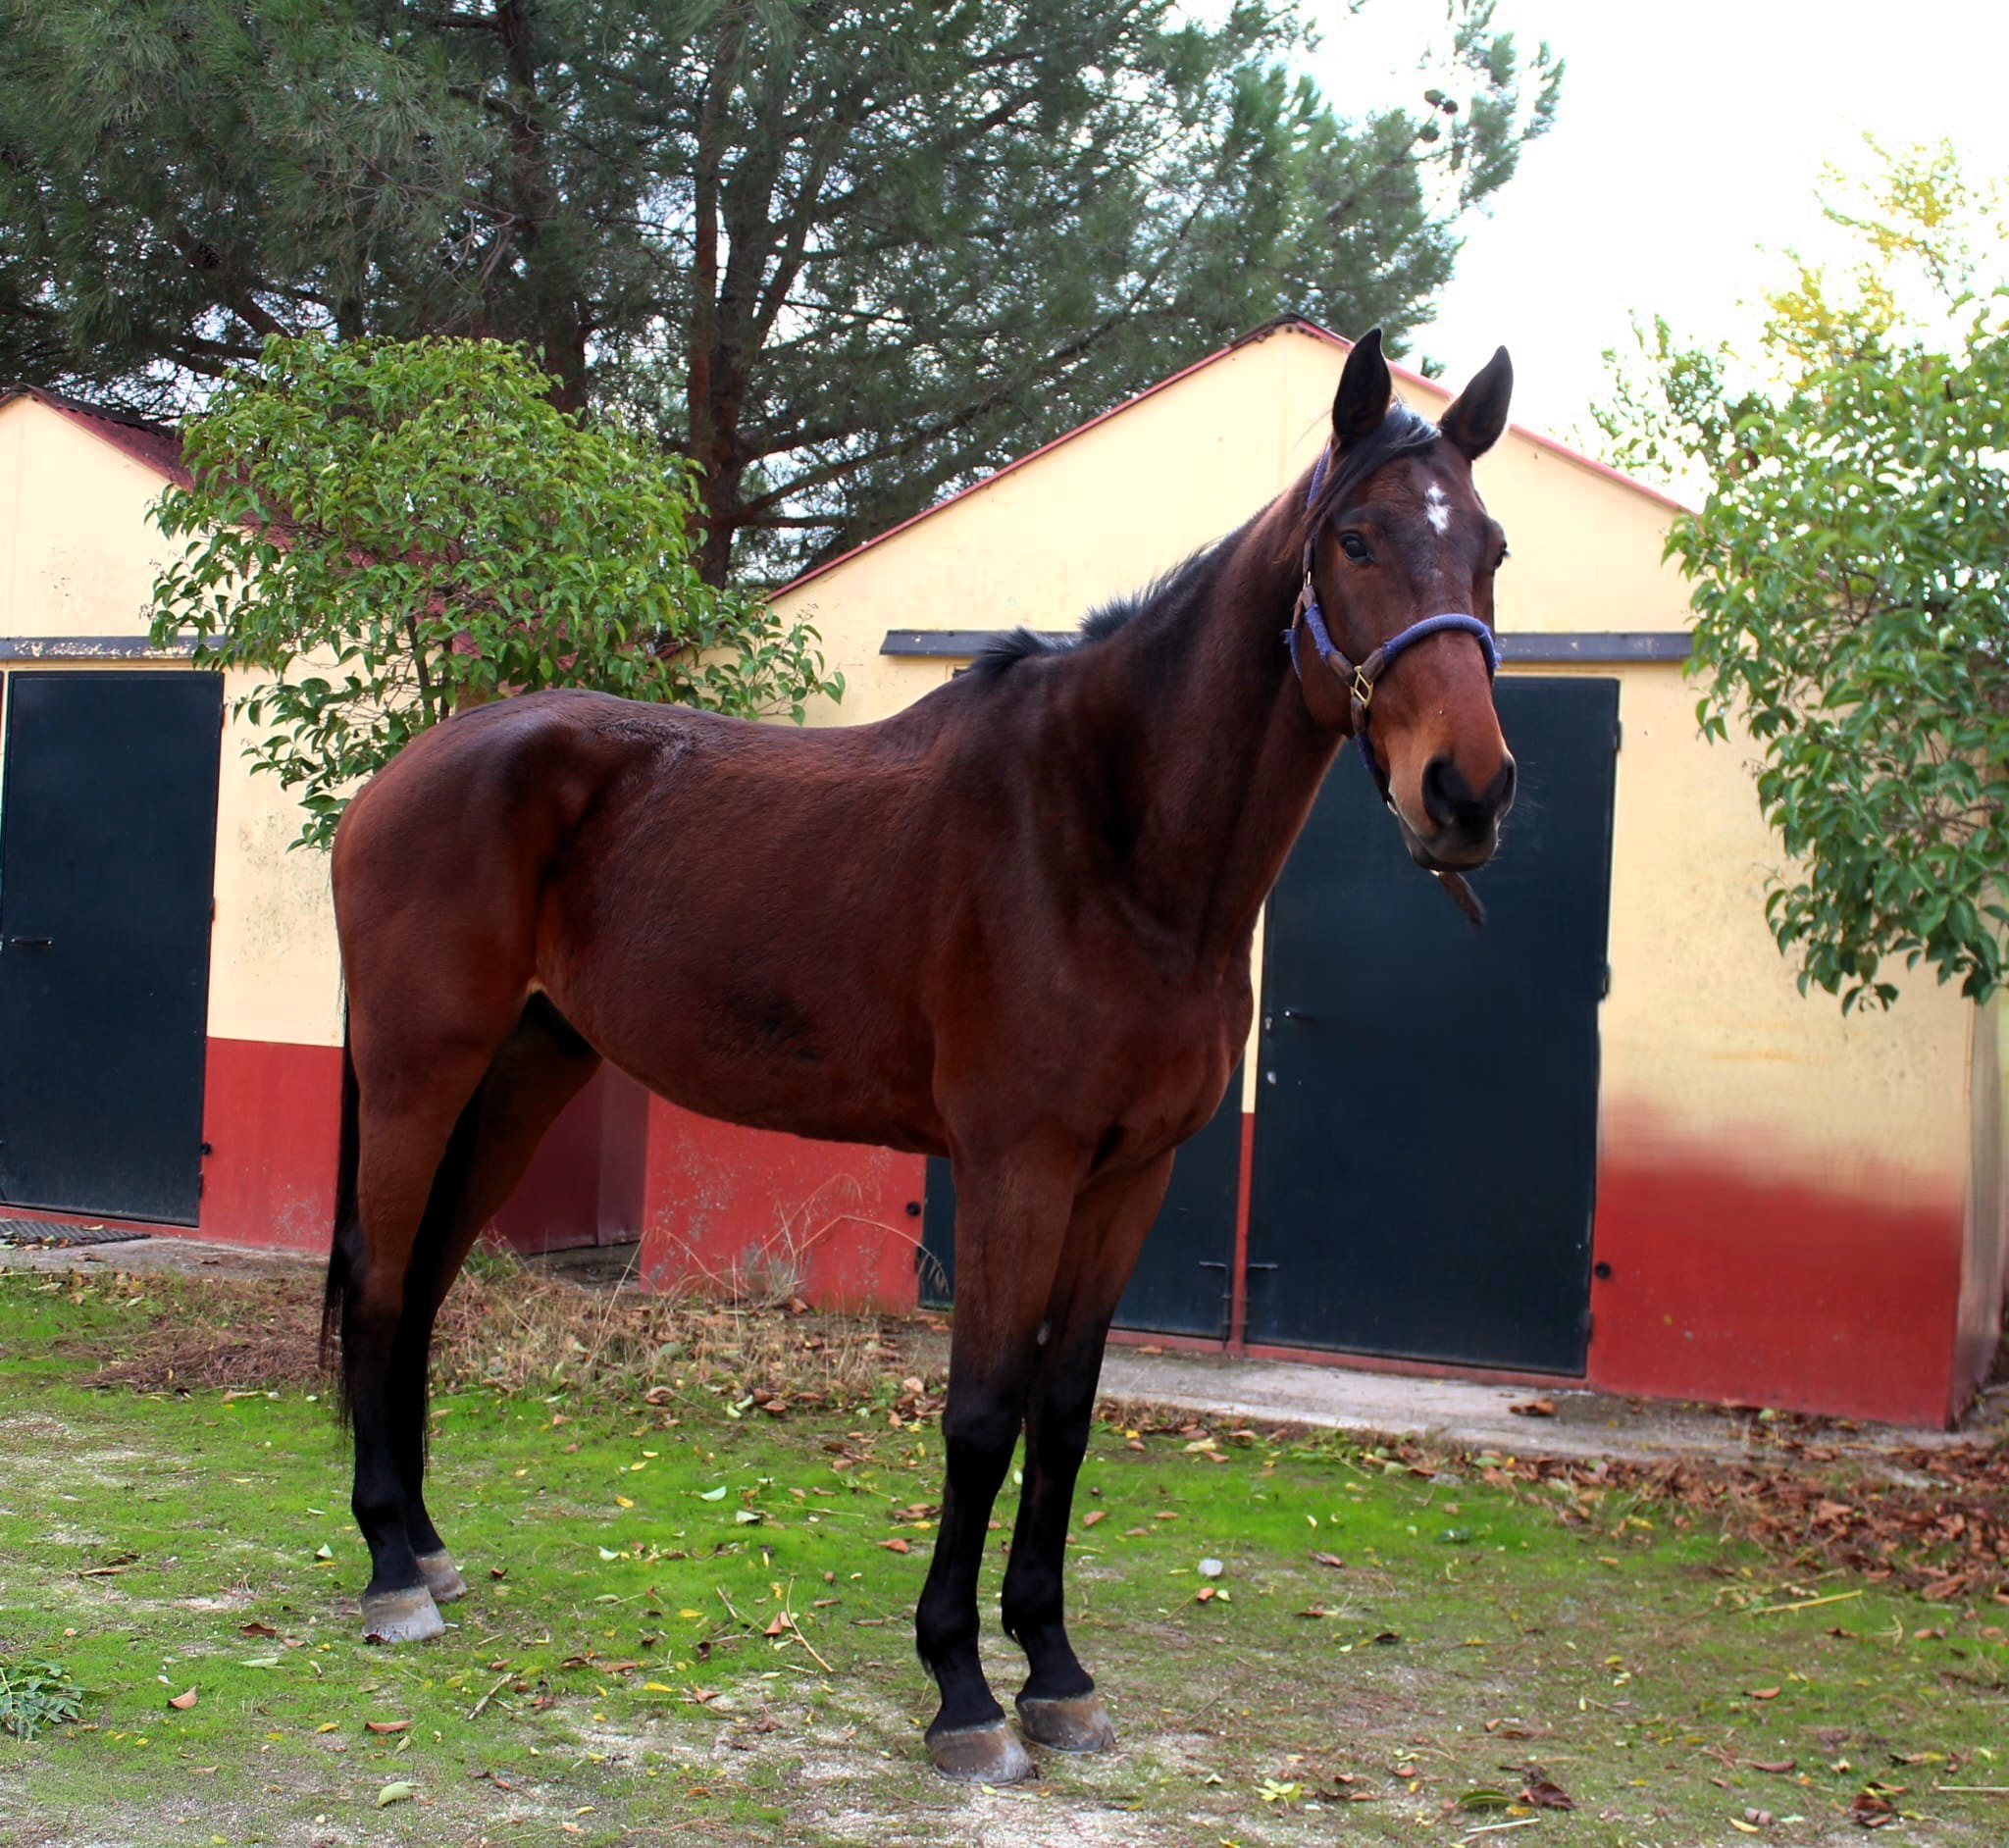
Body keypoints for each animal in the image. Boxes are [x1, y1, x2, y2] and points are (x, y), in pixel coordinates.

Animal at [320, 328, 1519, 1783]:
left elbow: (1065, 1413)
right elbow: (981, 1414)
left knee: (429, 1283)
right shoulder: (1017, 1169)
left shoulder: (1131, 1178)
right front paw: (961, 1689)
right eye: (1354, 538)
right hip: (418, 1070)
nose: (1466, 792)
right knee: (384, 1282)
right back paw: (389, 1575)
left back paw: (428, 1549)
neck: (1112, 841)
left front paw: (1054, 1670)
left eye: (1491, 550)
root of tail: (400, 775)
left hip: (524, 1074)